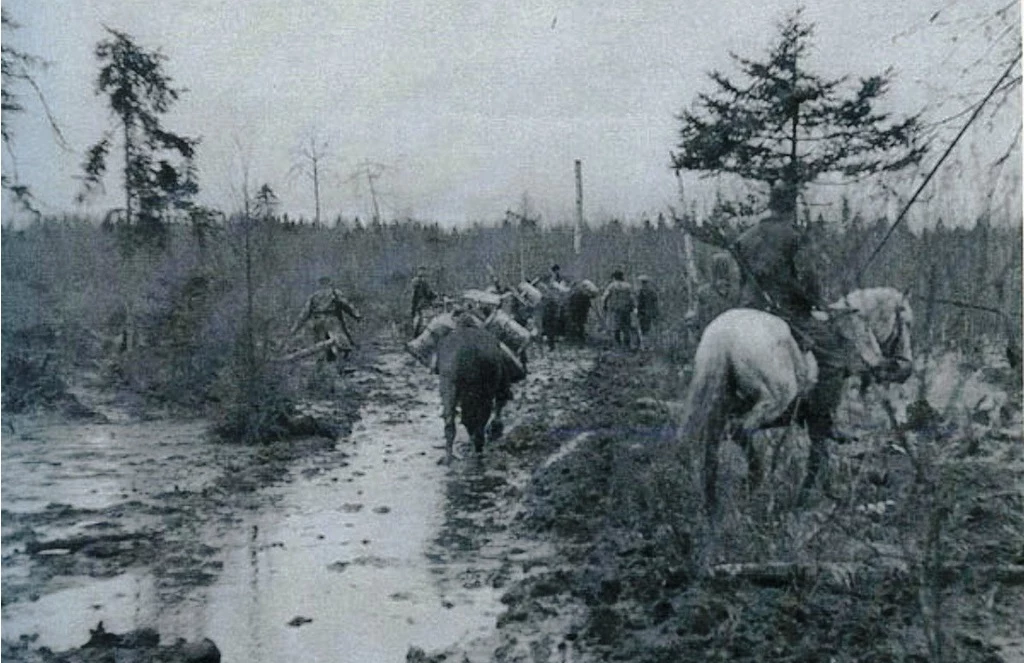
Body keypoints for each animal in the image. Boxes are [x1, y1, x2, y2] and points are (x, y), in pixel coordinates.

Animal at [679, 286, 913, 514]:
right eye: (907, 322)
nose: (905, 369)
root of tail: (724, 333)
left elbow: (821, 456)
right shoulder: (817, 420)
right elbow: (816, 459)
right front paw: (803, 500)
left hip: (719, 406)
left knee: (712, 448)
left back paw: (712, 505)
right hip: (774, 400)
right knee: (739, 431)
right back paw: (754, 479)